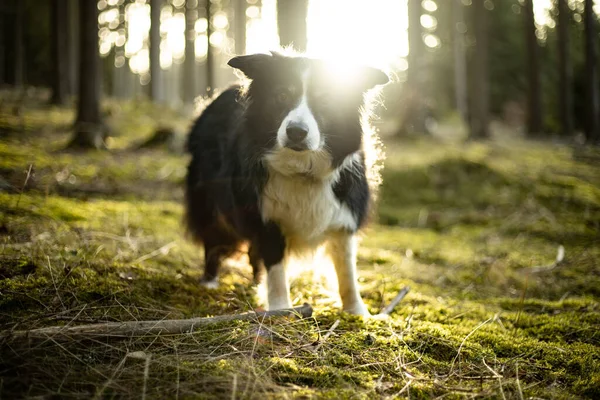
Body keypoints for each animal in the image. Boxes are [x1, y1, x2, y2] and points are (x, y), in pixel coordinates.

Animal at [184, 52, 390, 316]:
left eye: (325, 98)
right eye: (281, 96)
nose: (296, 132)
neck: (301, 169)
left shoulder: (344, 216)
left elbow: (347, 271)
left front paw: (357, 312)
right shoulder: (267, 217)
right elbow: (276, 269)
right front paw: (281, 309)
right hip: (210, 199)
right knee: (213, 239)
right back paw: (209, 281)